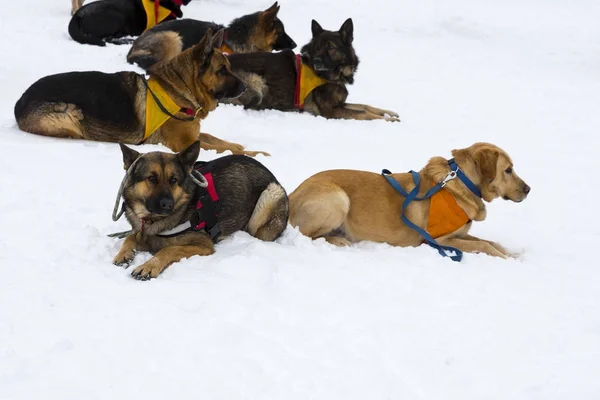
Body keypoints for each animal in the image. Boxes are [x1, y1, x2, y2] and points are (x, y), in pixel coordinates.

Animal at [14, 28, 270, 157]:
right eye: (222, 70)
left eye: (228, 67)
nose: (246, 87)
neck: (181, 89)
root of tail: (20, 101)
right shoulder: (184, 144)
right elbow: (223, 148)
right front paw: (256, 153)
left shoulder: (194, 135)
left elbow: (217, 139)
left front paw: (240, 145)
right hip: (71, 115)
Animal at [113, 139, 290, 280]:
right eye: (151, 178)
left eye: (173, 180)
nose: (167, 205)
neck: (150, 220)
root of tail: (272, 175)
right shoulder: (144, 234)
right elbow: (130, 237)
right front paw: (123, 254)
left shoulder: (203, 244)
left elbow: (169, 249)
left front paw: (149, 266)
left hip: (270, 194)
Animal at [220, 18, 398, 122]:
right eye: (317, 48)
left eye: (331, 48)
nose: (317, 61)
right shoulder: (332, 111)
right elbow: (363, 113)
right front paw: (387, 120)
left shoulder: (340, 104)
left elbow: (365, 106)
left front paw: (388, 112)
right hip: (257, 84)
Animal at [288, 142, 532, 258]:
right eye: (508, 170)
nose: (529, 189)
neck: (461, 182)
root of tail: (291, 195)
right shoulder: (440, 240)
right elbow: (484, 245)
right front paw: (507, 259)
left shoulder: (459, 234)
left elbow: (491, 242)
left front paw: (512, 254)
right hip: (338, 199)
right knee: (307, 235)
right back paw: (338, 240)